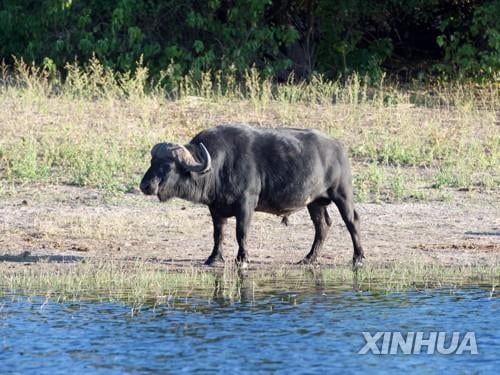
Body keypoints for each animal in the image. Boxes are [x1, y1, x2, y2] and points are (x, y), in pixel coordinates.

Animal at [139, 125, 366, 268]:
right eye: (152, 161)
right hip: (315, 202)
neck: (220, 165)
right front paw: (213, 258)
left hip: (342, 194)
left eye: (168, 166)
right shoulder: (215, 209)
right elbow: (218, 234)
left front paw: (242, 258)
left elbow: (241, 232)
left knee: (352, 221)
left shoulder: (246, 204)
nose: (145, 185)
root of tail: (338, 147)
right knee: (322, 226)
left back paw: (358, 257)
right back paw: (308, 258)